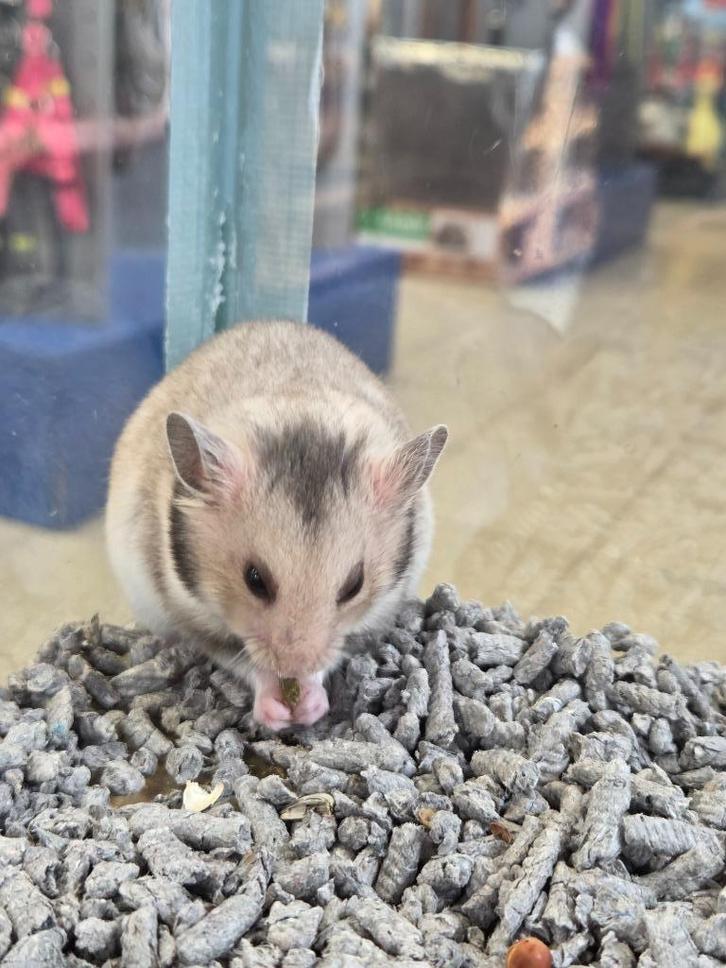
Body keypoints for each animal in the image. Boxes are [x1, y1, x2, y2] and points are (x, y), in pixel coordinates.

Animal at [106, 320, 447, 730]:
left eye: (354, 585)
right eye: (254, 579)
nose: (292, 666)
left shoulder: (374, 616)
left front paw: (310, 704)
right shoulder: (195, 620)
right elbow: (242, 660)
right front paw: (277, 711)